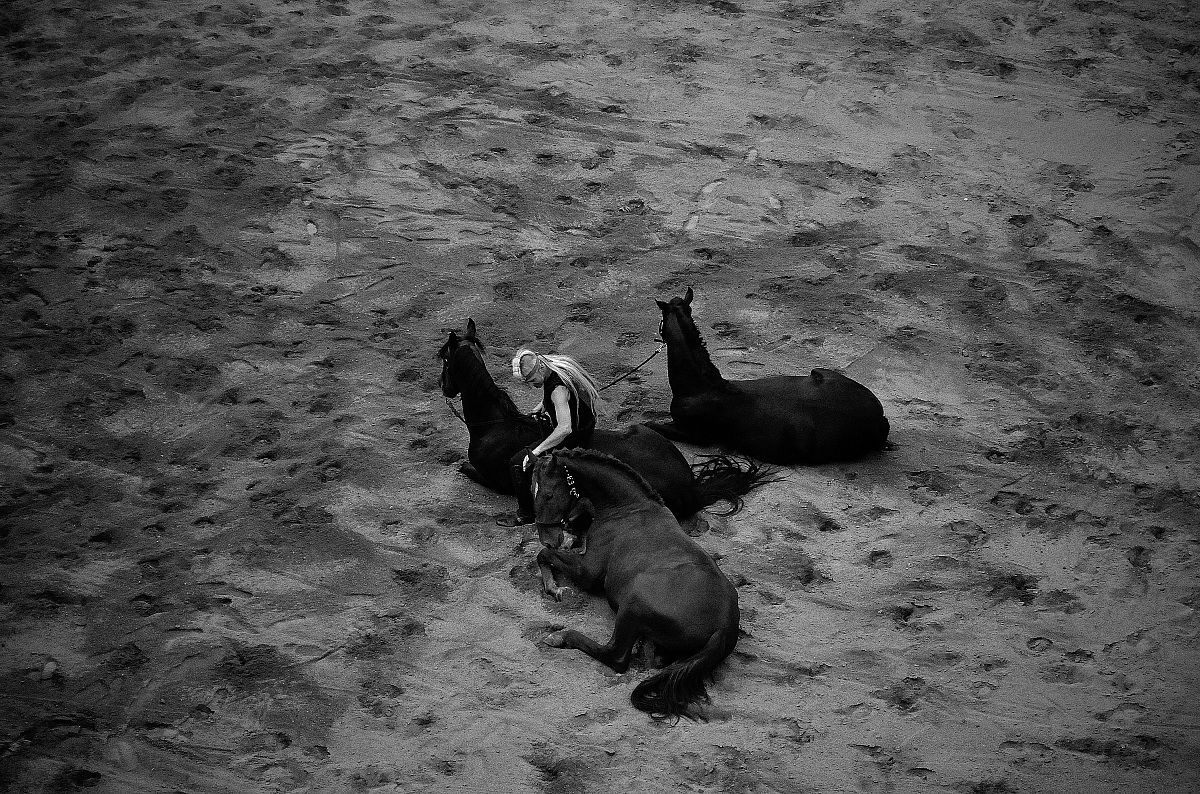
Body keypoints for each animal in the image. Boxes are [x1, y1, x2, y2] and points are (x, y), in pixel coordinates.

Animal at [436, 319, 772, 521]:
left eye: (444, 359)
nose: (443, 386)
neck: (494, 425)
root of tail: (691, 486)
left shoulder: (492, 477)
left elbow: (466, 468)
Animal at [532, 449, 740, 721]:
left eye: (547, 494)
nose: (548, 538)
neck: (627, 509)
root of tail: (724, 626)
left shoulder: (588, 572)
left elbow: (544, 555)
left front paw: (554, 587)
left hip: (632, 605)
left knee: (616, 656)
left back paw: (561, 636)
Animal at [649, 287, 890, 465]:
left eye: (661, 319)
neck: (702, 387)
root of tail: (879, 416)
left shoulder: (694, 434)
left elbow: (652, 425)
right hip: (820, 372)